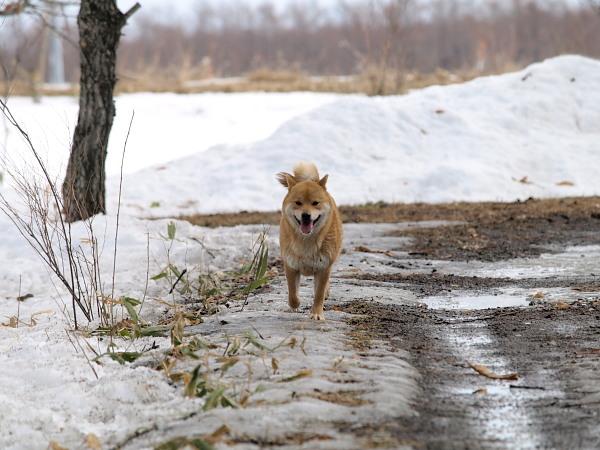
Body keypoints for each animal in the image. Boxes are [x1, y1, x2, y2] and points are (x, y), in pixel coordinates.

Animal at [276, 162, 342, 320]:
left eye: (315, 203)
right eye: (298, 203)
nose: (306, 215)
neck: (306, 241)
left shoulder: (323, 268)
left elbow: (318, 294)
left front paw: (316, 314)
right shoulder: (291, 266)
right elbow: (293, 295)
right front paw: (297, 302)